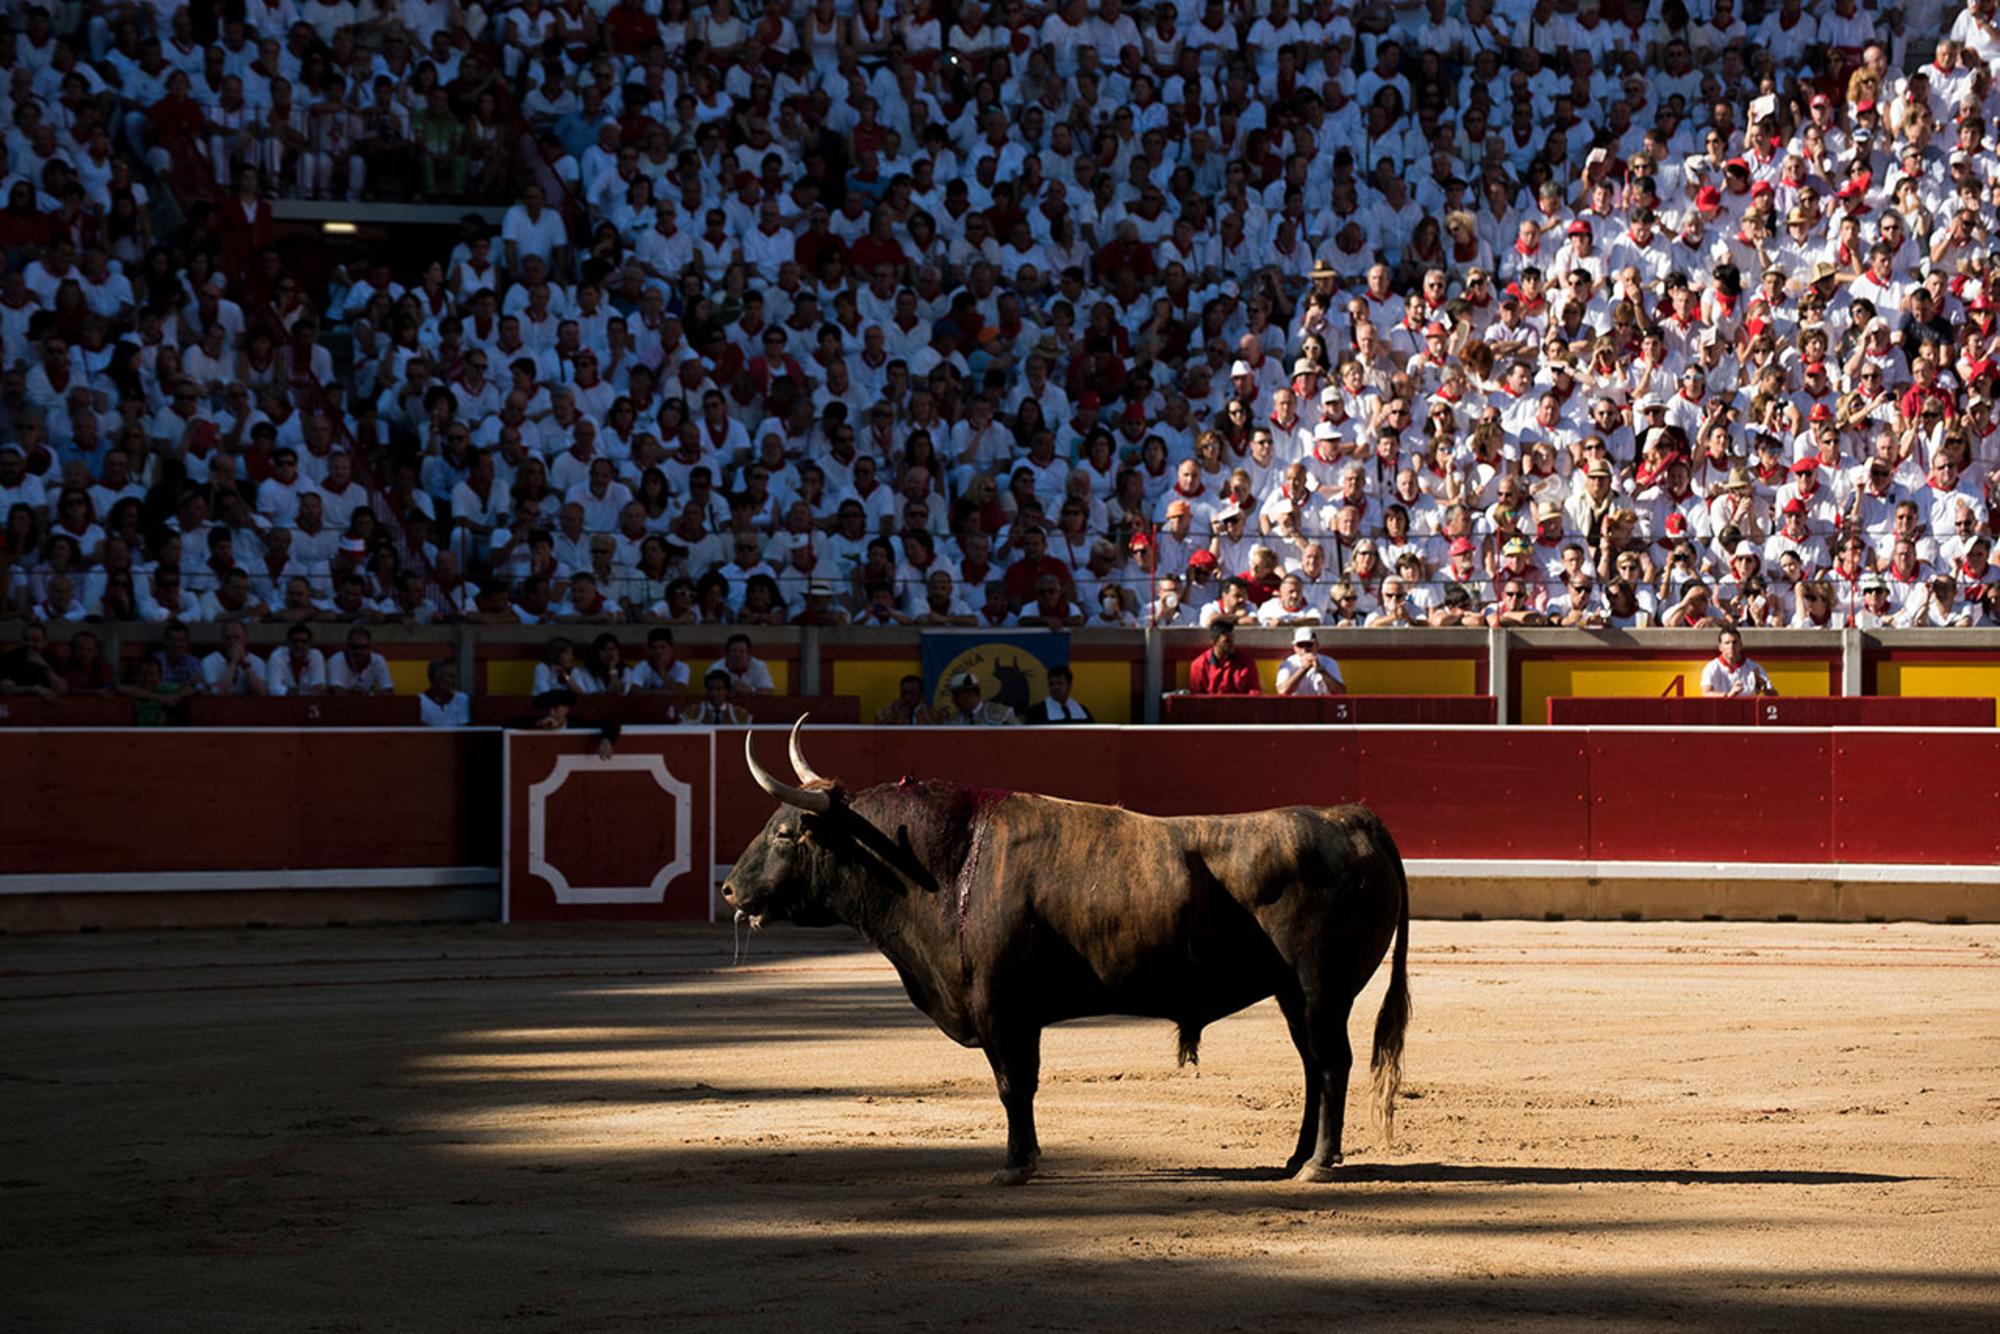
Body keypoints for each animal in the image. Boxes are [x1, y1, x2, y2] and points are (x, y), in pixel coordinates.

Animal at [724, 724, 1408, 1184]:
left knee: (1332, 1064)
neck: (948, 866)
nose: (729, 889)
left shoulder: (1001, 1011)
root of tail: (1354, 817)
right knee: (1313, 1067)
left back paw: (1319, 1164)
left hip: (1320, 991)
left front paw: (1016, 1165)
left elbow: (1012, 1086)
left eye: (785, 833)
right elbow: (1019, 1086)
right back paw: (1295, 1157)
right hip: (1294, 995)